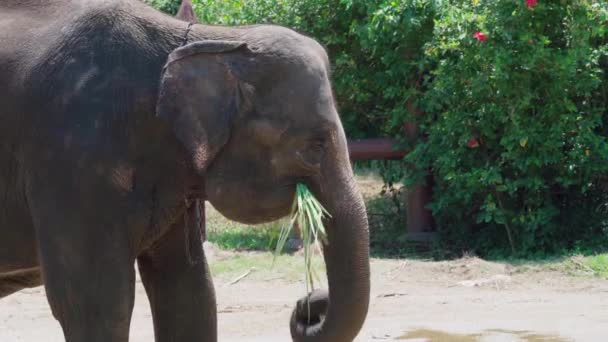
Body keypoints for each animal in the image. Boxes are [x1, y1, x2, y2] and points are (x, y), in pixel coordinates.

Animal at [0, 0, 370, 342]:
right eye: (315, 145)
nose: (309, 305)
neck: (207, 41)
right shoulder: (73, 157)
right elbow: (95, 304)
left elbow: (188, 293)